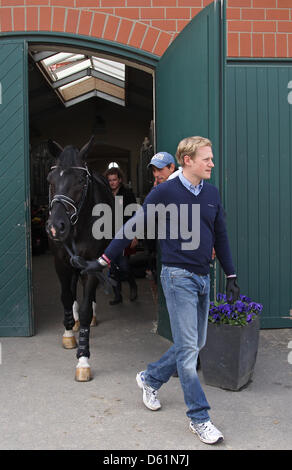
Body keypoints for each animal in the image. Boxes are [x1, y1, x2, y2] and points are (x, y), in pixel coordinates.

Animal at [46, 138, 114, 380]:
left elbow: (85, 308)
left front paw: (83, 360)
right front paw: (68, 333)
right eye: (50, 179)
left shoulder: (92, 262)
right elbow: (66, 297)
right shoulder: (60, 262)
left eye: (81, 180)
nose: (56, 227)